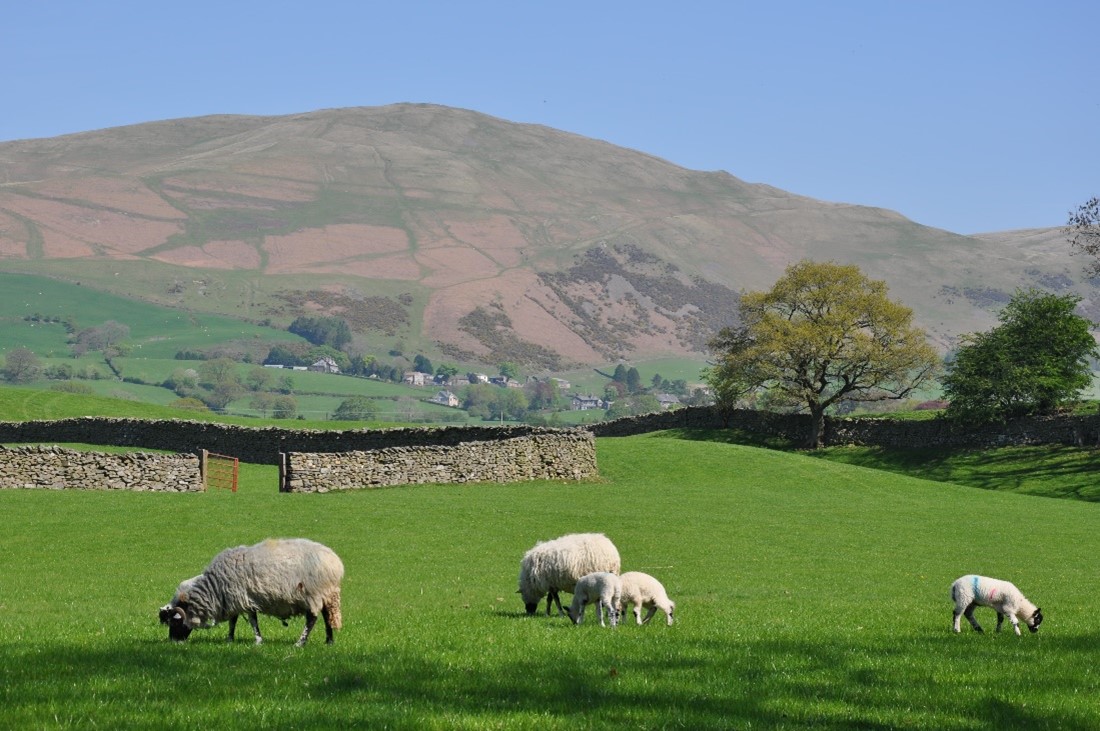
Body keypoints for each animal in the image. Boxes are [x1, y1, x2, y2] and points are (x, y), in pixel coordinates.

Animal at [158, 536, 343, 646]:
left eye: (175, 622)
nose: (172, 641)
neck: (214, 588)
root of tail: (335, 563)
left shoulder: (244, 599)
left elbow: (253, 622)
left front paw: (258, 641)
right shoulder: (233, 600)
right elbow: (233, 621)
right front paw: (230, 639)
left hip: (314, 594)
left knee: (312, 619)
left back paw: (300, 643)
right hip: (326, 595)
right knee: (327, 616)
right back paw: (329, 641)